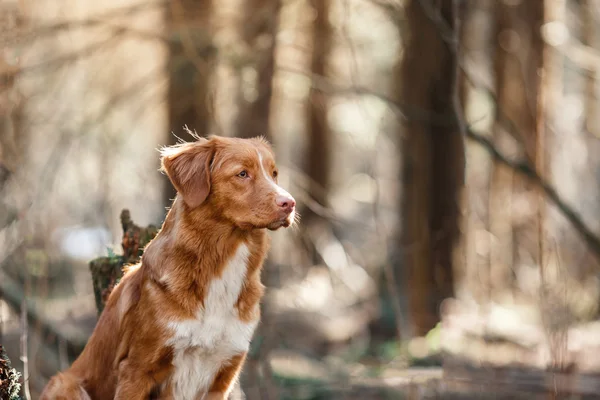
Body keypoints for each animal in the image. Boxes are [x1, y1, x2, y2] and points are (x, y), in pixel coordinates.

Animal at [38, 136, 296, 398]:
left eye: (274, 173)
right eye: (242, 173)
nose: (290, 203)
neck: (221, 264)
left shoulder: (223, 375)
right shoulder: (137, 370)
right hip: (66, 383)